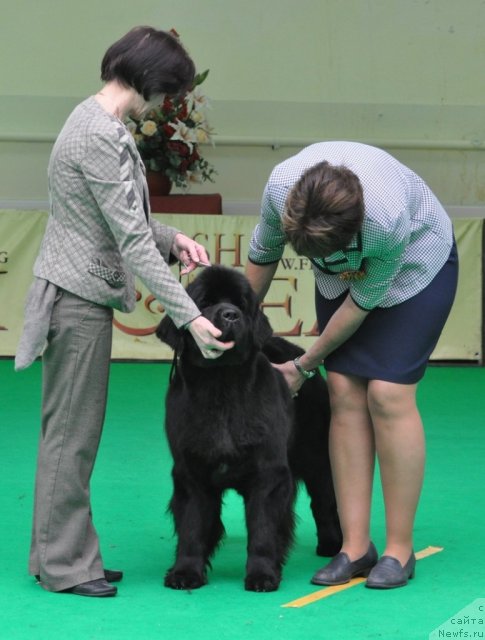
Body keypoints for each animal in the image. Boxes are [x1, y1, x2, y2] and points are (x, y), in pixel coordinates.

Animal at [156, 264, 340, 592]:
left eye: (241, 304)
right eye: (205, 302)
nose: (230, 315)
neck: (220, 384)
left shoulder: (268, 472)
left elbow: (263, 530)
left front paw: (262, 574)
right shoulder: (191, 471)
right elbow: (192, 526)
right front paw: (185, 572)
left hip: (316, 453)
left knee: (324, 498)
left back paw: (331, 545)